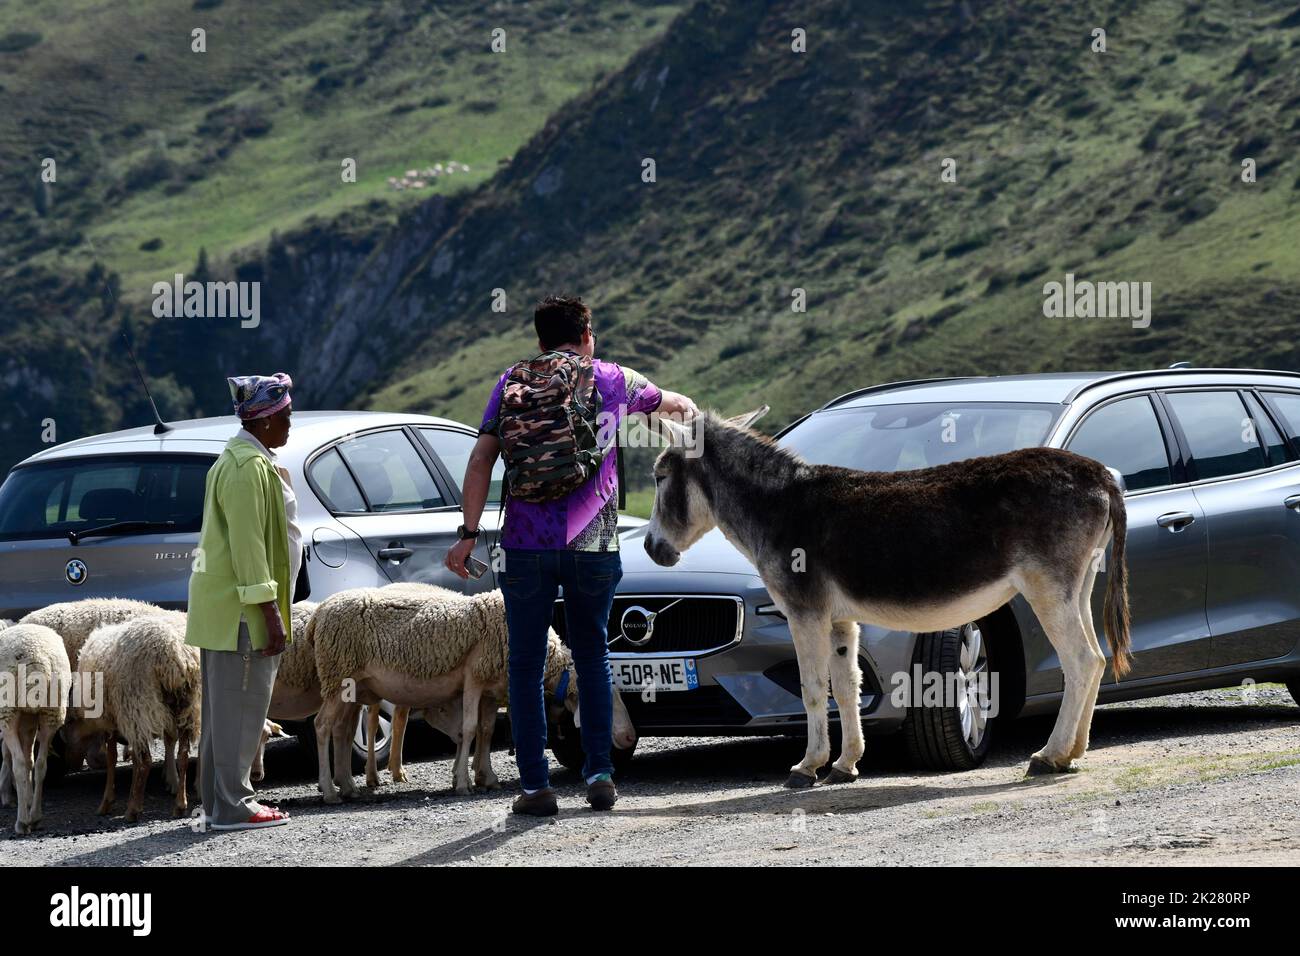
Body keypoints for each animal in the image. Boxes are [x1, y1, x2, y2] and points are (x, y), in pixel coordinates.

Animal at [0, 624, 70, 832]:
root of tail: (36, 657)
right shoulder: (28, 722)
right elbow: (30, 760)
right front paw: (28, 798)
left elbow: (18, 760)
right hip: (52, 711)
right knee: (40, 764)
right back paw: (36, 816)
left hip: (8, 710)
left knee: (20, 764)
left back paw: (22, 821)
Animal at [64, 613, 197, 822]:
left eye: (67, 723)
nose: (62, 737)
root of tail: (174, 654)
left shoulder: (112, 720)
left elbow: (113, 758)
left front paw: (107, 802)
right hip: (185, 710)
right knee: (182, 755)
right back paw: (180, 805)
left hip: (137, 705)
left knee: (145, 761)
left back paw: (132, 810)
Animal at [309, 587, 574, 806]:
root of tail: (320, 610)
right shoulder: (474, 677)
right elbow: (469, 728)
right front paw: (464, 783)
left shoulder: (490, 690)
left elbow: (486, 730)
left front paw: (486, 777)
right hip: (338, 675)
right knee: (322, 725)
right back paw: (331, 791)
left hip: (350, 686)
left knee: (342, 729)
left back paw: (348, 787)